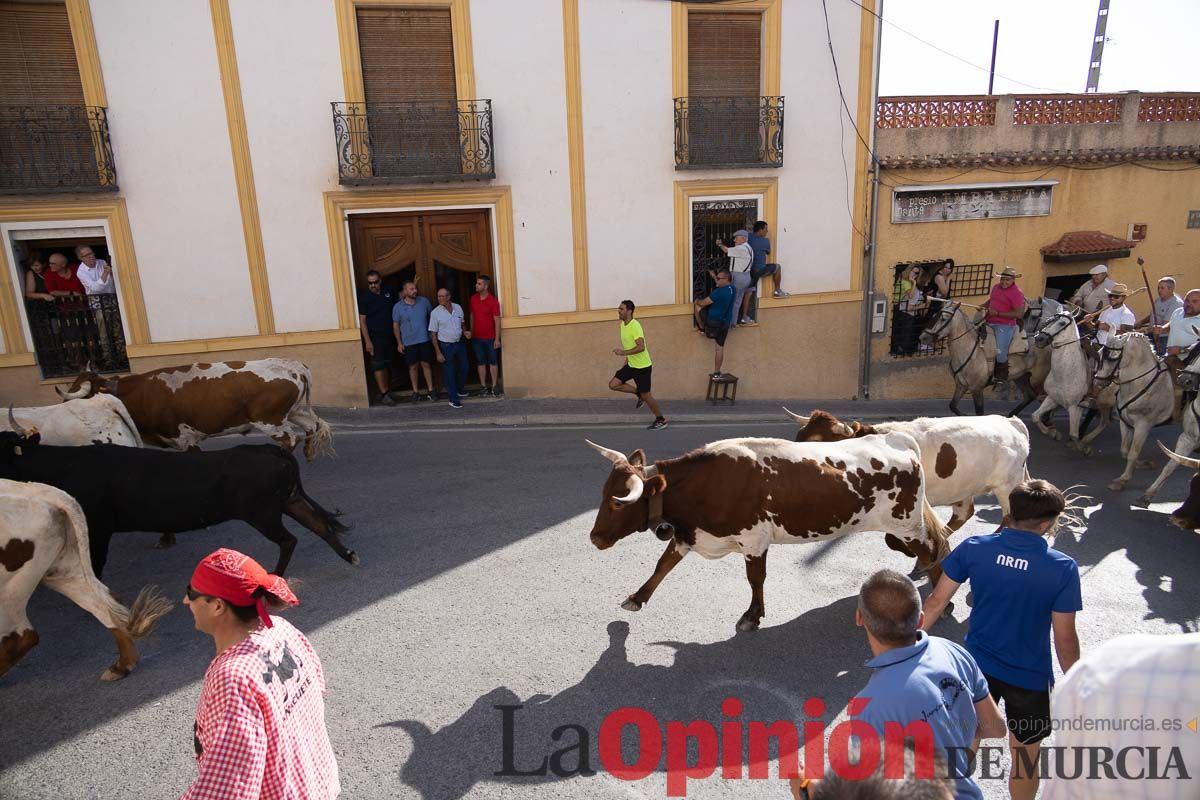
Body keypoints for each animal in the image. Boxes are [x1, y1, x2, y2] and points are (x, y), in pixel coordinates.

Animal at [0, 482, 174, 681]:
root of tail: (39, 491)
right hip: (62, 572)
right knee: (104, 606)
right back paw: (122, 666)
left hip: (11, 589)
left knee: (24, 636)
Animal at [56, 357, 333, 462]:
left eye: (83, 397)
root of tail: (293, 366)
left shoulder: (186, 439)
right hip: (293, 412)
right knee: (312, 425)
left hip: (270, 421)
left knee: (290, 439)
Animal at [585, 434, 950, 633]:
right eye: (602, 494)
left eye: (617, 503)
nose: (595, 538)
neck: (705, 483)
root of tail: (896, 437)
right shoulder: (689, 534)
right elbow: (663, 565)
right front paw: (637, 598)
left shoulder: (754, 539)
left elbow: (755, 578)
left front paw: (751, 616)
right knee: (939, 546)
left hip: (905, 524)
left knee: (933, 549)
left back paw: (939, 603)